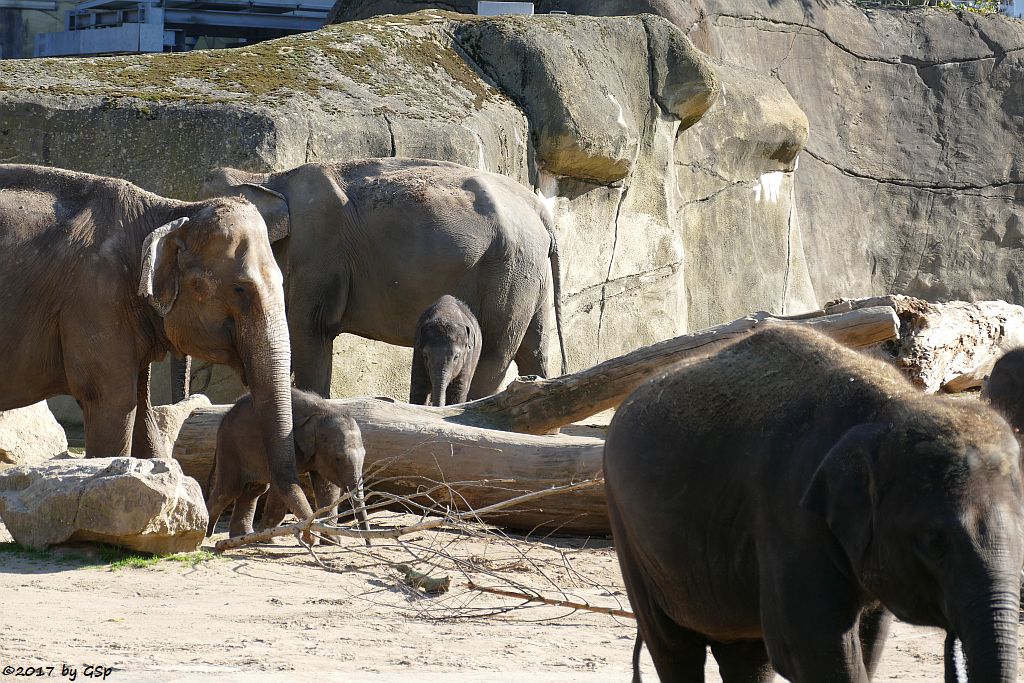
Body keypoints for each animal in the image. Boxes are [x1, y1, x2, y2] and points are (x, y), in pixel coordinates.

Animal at [199, 154, 569, 401]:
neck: (270, 178)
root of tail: (540, 209)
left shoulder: (318, 251)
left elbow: (310, 331)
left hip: (509, 270)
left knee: (495, 350)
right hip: (528, 277)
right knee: (533, 348)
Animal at [205, 389, 370, 544]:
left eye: (364, 455)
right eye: (338, 458)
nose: (368, 543)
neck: (323, 411)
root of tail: (226, 414)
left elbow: (327, 487)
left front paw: (331, 540)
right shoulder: (288, 443)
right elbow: (282, 485)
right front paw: (271, 537)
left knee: (254, 489)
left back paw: (241, 536)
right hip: (230, 447)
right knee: (229, 490)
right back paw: (208, 533)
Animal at [602, 325, 1024, 683]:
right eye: (934, 542)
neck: (892, 405)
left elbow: (867, 641)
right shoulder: (789, 513)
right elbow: (809, 648)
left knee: (746, 654)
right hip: (630, 537)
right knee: (674, 647)